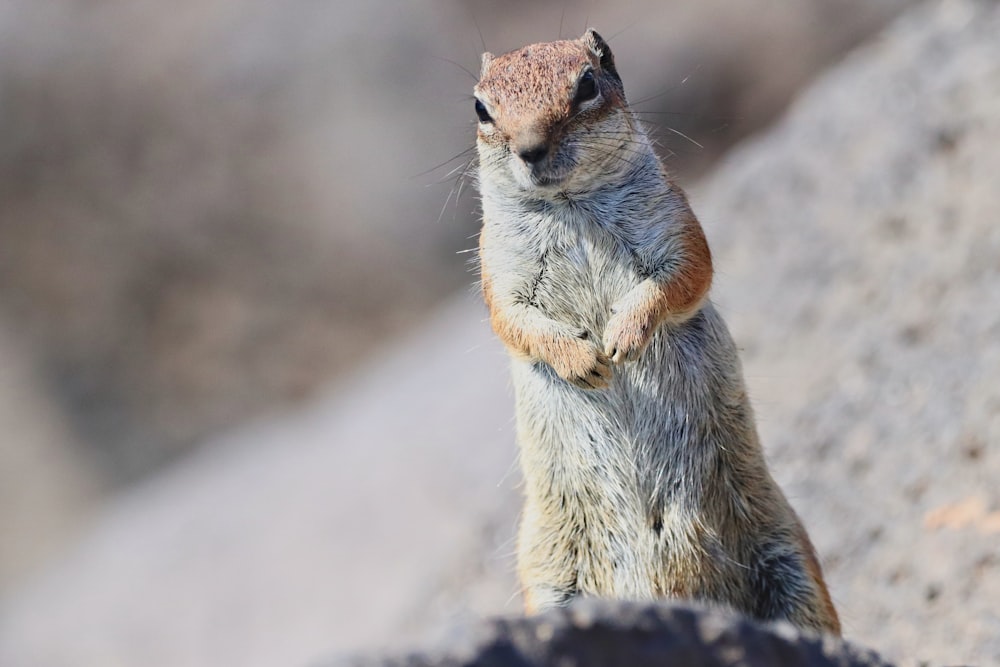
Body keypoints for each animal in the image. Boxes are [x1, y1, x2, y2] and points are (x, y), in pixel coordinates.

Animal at [472, 30, 840, 636]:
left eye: (587, 85)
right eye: (481, 108)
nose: (529, 150)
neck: (570, 205)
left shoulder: (678, 225)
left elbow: (681, 279)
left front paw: (622, 337)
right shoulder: (498, 271)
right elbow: (514, 322)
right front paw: (584, 361)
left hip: (790, 555)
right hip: (548, 570)